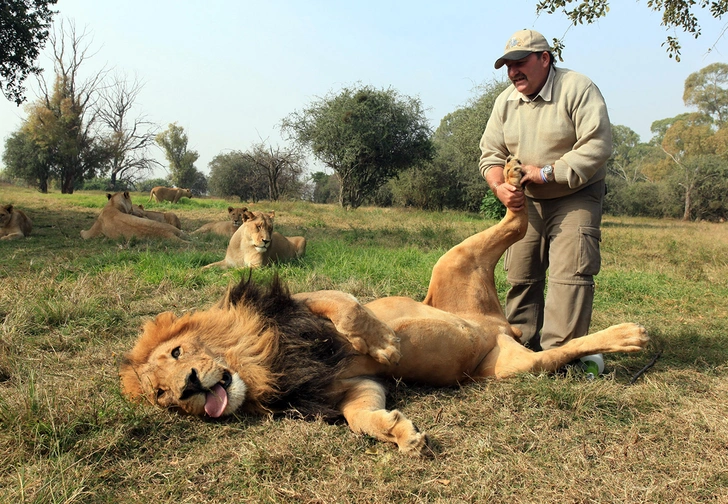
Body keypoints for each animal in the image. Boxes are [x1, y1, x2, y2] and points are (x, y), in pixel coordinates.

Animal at [119, 160, 648, 456]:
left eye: (177, 354)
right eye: (163, 396)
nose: (187, 387)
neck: (264, 364)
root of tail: (499, 325)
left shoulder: (303, 304)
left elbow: (347, 307)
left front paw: (388, 344)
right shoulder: (354, 386)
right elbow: (361, 416)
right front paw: (399, 435)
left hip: (453, 259)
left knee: (516, 220)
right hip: (510, 366)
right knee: (551, 349)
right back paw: (624, 336)